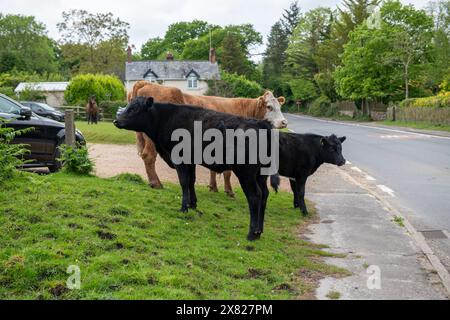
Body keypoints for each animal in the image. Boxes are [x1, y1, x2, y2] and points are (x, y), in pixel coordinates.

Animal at [113, 96, 274, 241]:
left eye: (134, 109)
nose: (116, 121)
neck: (166, 118)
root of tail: (261, 124)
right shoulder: (191, 161)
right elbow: (191, 181)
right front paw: (193, 204)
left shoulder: (180, 159)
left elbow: (184, 182)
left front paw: (184, 207)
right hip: (261, 174)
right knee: (265, 194)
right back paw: (259, 231)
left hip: (246, 173)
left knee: (255, 196)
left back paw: (252, 233)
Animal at [129, 80, 288, 195]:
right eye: (269, 107)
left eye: (280, 107)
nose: (284, 122)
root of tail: (146, 83)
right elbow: (227, 172)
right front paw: (229, 191)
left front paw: (213, 187)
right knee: (149, 156)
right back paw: (156, 183)